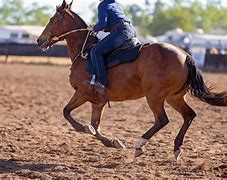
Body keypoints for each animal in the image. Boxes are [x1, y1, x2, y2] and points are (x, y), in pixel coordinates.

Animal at [36, 0, 226, 160]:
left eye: (52, 19)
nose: (39, 40)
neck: (84, 53)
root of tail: (185, 55)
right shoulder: (98, 102)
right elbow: (95, 126)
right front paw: (112, 142)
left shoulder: (82, 93)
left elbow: (67, 113)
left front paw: (85, 128)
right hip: (175, 97)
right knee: (189, 115)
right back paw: (177, 148)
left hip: (154, 96)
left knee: (162, 119)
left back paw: (140, 144)